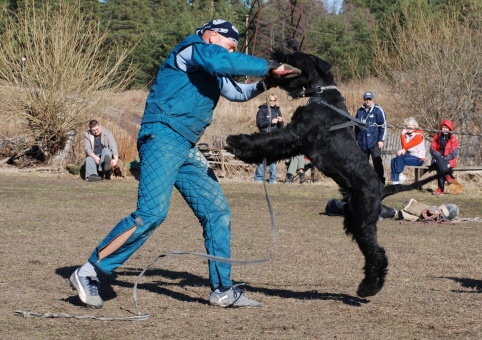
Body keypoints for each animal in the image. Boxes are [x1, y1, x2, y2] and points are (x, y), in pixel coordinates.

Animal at [228, 47, 442, 298]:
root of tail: (383, 188)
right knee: (373, 251)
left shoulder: (296, 133)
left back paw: (368, 288)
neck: (322, 94)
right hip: (354, 220)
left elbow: (269, 140)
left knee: (376, 253)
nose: (276, 52)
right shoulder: (297, 142)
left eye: (295, 54)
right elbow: (272, 147)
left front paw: (238, 144)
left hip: (363, 219)